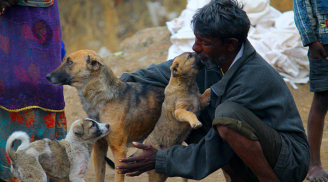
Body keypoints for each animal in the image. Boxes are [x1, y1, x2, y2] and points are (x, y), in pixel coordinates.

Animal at [45, 49, 164, 181]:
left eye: (70, 62)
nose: (47, 76)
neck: (103, 98)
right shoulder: (99, 147)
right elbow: (99, 176)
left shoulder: (119, 151)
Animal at [137, 52, 211, 181]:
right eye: (190, 56)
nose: (200, 53)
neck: (186, 84)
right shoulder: (180, 111)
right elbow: (190, 113)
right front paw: (195, 123)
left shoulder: (199, 101)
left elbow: (207, 90)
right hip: (156, 175)